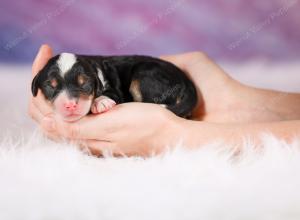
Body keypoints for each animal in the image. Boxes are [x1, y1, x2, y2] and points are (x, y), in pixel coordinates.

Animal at [31, 53, 198, 122]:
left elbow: (110, 94)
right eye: (50, 86)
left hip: (144, 75)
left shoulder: (114, 89)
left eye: (84, 83)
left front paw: (100, 102)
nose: (71, 105)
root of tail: (187, 81)